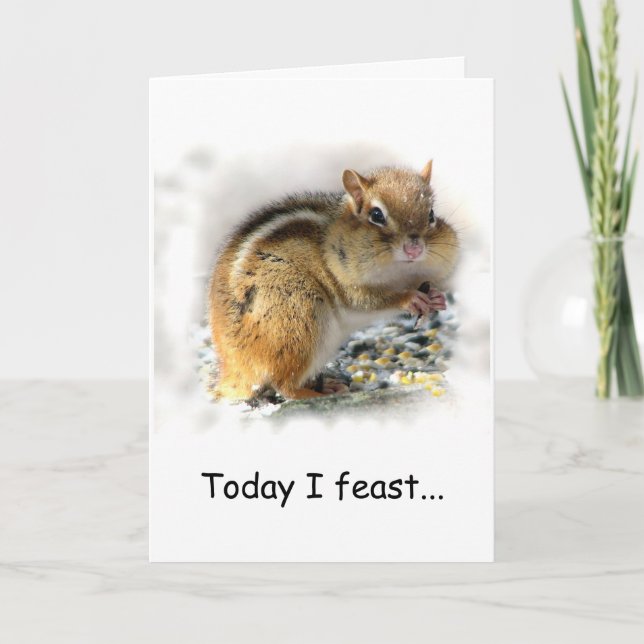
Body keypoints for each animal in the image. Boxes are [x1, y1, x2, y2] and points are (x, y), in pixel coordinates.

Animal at [208, 160, 459, 401]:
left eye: (431, 215)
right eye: (377, 215)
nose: (414, 249)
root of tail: (235, 370)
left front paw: (437, 298)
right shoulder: (345, 282)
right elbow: (367, 301)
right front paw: (410, 298)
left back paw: (325, 385)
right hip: (297, 315)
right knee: (283, 385)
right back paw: (312, 394)